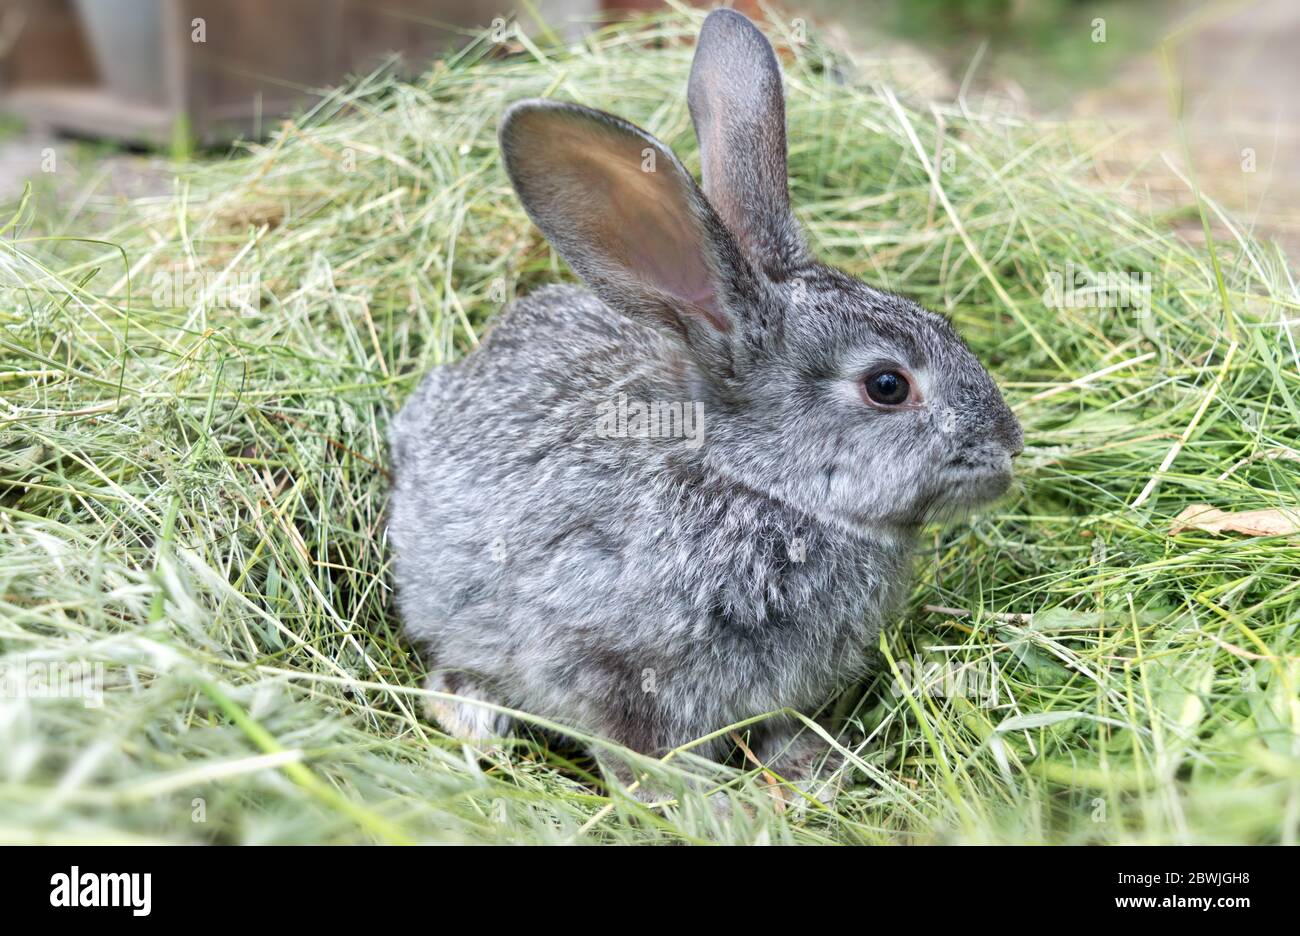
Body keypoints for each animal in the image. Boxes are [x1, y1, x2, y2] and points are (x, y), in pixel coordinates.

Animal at [388, 8, 1022, 790]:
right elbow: (638, 748)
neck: (754, 480)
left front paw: (807, 768)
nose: (1008, 445)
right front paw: (705, 802)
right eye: (887, 385)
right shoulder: (607, 662)